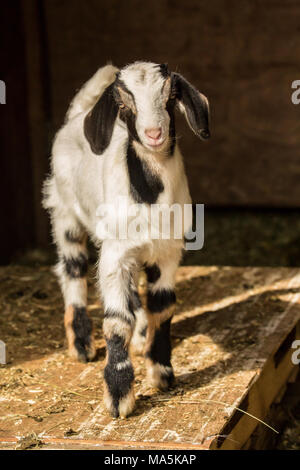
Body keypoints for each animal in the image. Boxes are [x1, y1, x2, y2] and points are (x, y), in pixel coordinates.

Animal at [43, 60, 210, 416]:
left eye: (170, 97)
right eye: (123, 105)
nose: (154, 134)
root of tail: (78, 115)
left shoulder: (167, 253)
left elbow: (163, 309)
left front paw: (161, 372)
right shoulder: (114, 254)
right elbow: (117, 321)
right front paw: (119, 396)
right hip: (64, 211)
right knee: (72, 269)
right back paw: (81, 343)